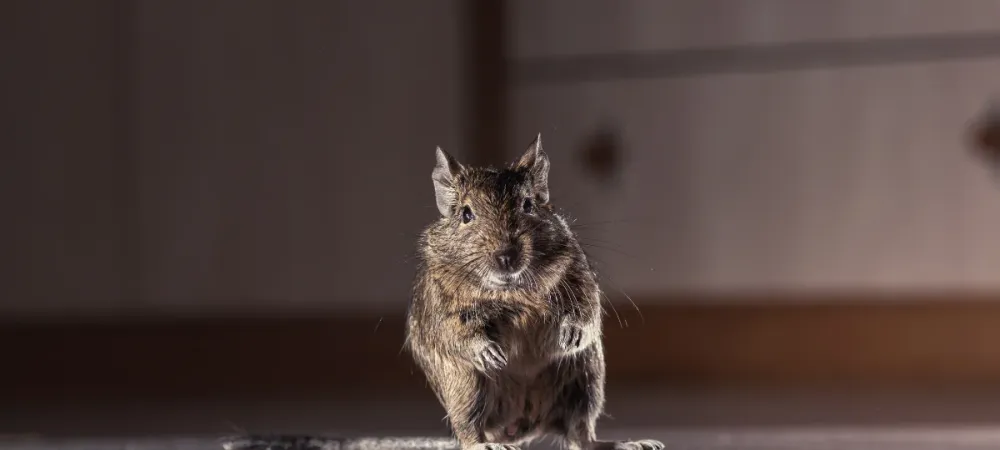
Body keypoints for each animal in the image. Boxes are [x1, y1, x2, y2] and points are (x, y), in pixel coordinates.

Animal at [404, 134, 664, 450]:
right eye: (466, 214)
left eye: (528, 205)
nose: (506, 257)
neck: (511, 289)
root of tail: (518, 428)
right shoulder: (440, 303)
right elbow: (455, 331)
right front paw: (488, 352)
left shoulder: (578, 276)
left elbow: (586, 310)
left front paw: (572, 333)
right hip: (466, 387)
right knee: (469, 431)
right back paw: (487, 444)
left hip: (585, 377)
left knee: (581, 435)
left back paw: (628, 443)